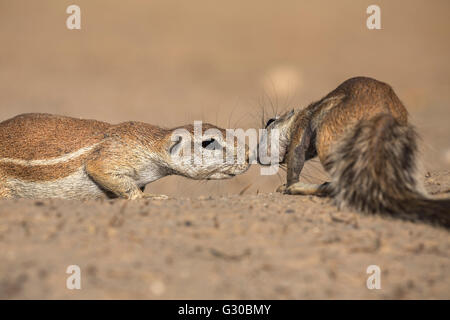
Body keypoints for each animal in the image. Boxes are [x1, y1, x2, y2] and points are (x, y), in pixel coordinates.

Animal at [258, 76, 450, 229]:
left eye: (269, 122)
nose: (257, 156)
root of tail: (382, 115)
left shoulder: (301, 126)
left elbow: (296, 156)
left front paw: (287, 186)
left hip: (330, 143)